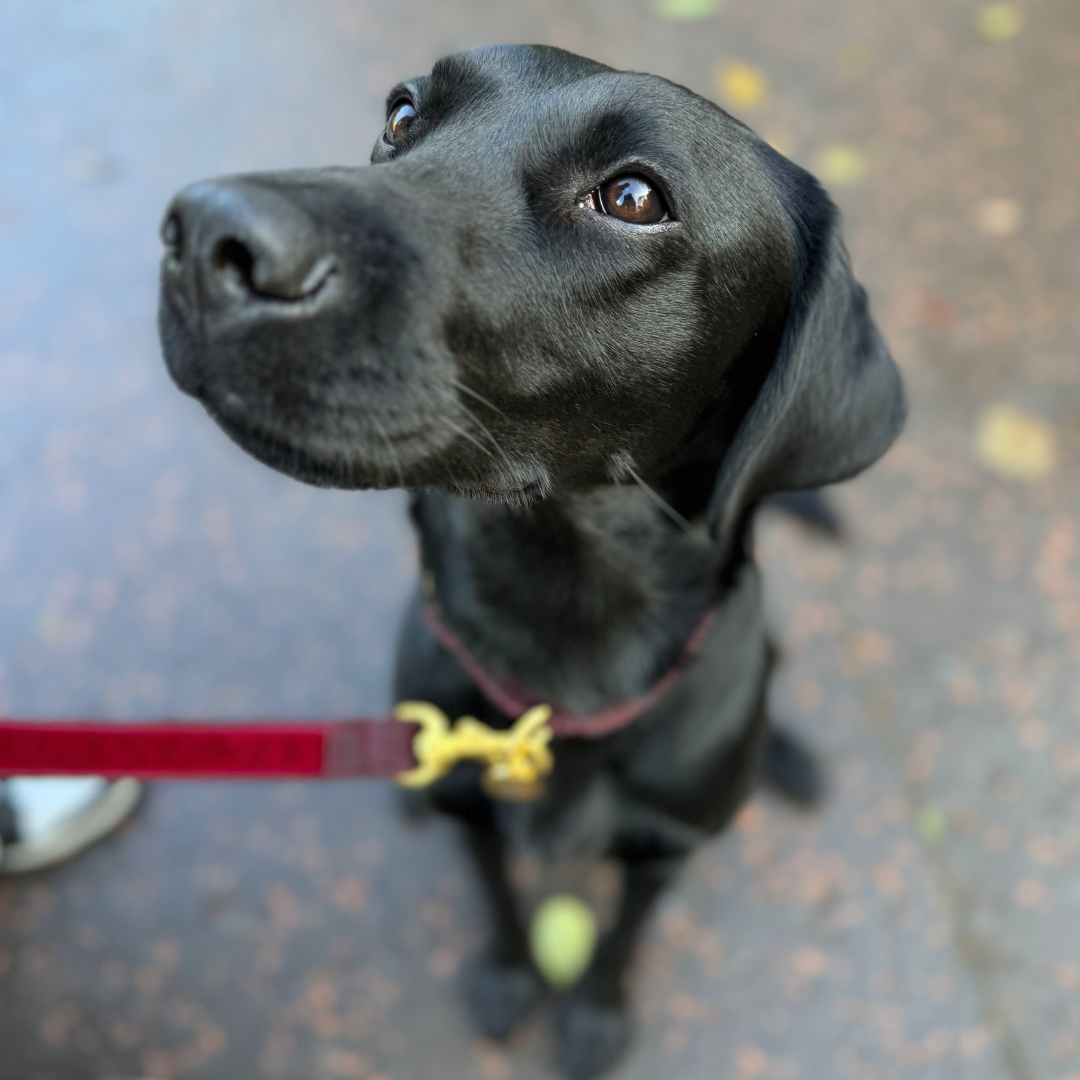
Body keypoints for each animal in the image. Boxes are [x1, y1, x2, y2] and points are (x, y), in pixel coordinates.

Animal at [157, 46, 902, 1080]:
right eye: (402, 115)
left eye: (632, 196)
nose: (204, 235)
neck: (560, 632)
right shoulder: (474, 812)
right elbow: (500, 895)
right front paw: (511, 976)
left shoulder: (659, 852)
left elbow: (622, 940)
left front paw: (594, 1016)